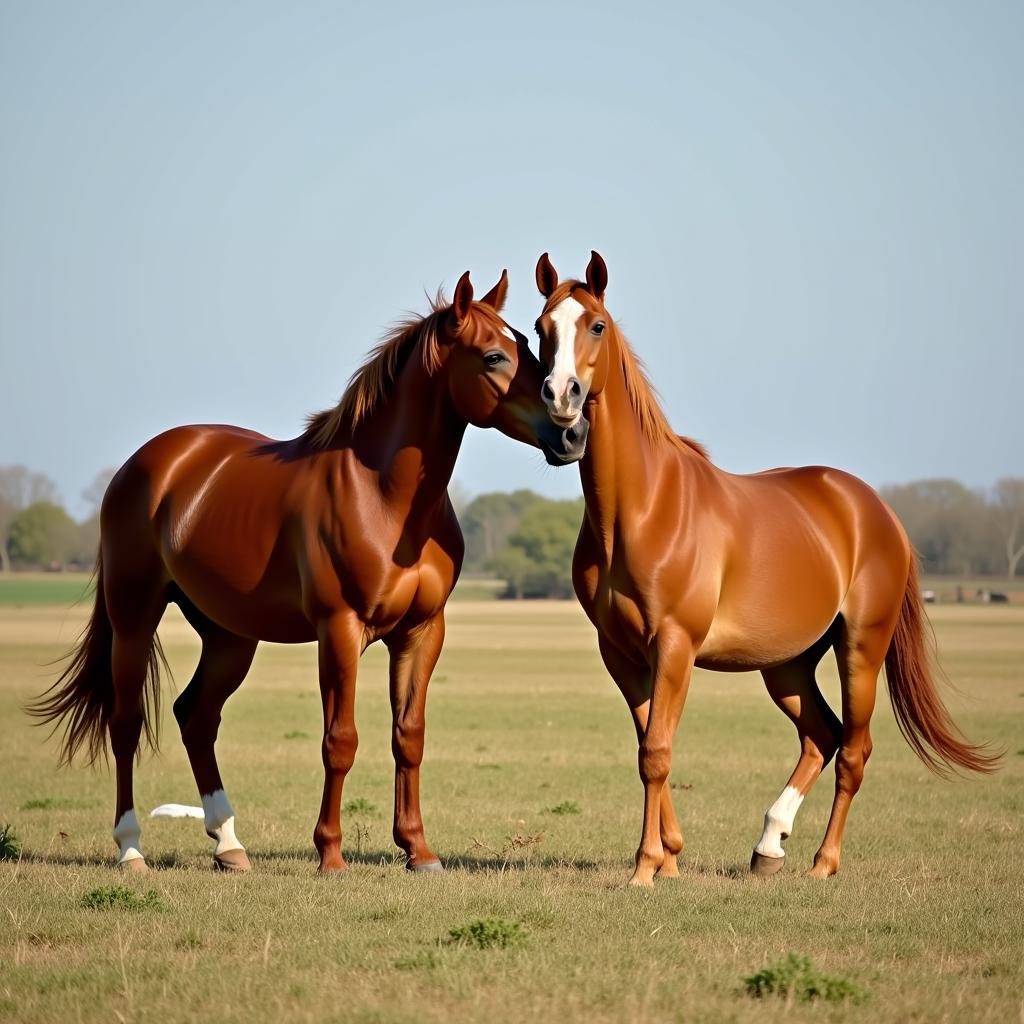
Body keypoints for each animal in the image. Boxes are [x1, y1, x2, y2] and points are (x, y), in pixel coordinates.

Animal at [29, 270, 585, 872]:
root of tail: (148, 462)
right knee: (126, 723)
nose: (571, 433)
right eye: (492, 357)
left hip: (229, 635)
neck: (385, 498)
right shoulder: (339, 629)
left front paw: (418, 849)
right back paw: (131, 848)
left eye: (527, 345)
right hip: (134, 618)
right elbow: (339, 740)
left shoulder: (421, 632)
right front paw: (331, 854)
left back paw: (229, 845)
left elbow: (408, 736)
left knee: (196, 717)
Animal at [532, 251, 995, 884]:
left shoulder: (674, 645)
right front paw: (669, 856)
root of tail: (875, 511)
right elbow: (649, 744)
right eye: (540, 329)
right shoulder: (621, 653)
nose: (563, 402)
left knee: (853, 750)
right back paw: (769, 845)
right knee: (821, 735)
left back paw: (823, 863)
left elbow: (656, 752)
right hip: (788, 664)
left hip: (860, 648)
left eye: (596, 326)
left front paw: (647, 866)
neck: (643, 509)